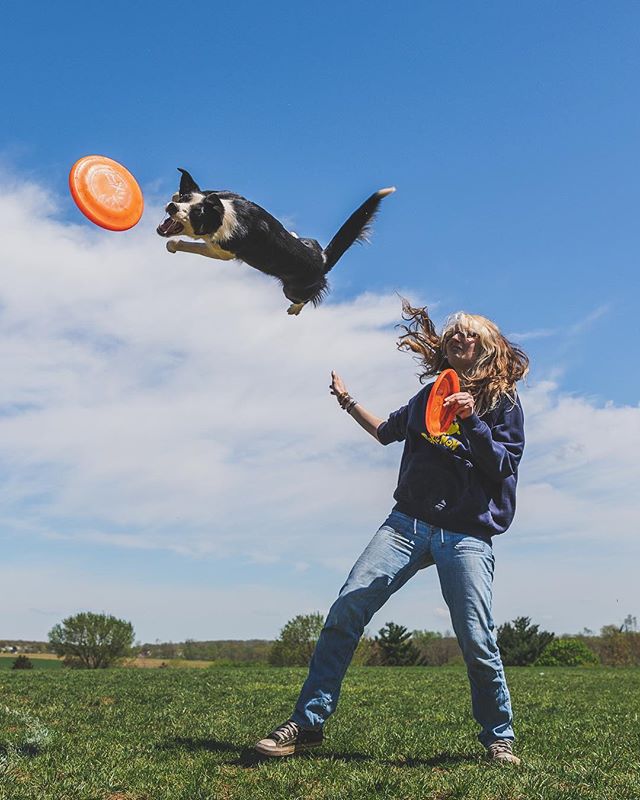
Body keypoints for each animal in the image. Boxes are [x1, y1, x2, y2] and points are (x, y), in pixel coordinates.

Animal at [156, 170, 396, 314]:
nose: (173, 207)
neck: (223, 213)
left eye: (196, 213)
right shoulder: (231, 196)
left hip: (293, 289)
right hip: (312, 242)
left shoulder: (222, 253)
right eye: (186, 200)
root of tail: (322, 260)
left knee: (306, 298)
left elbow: (194, 246)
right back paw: (294, 233)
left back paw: (295, 309)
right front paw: (176, 194)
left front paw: (175, 245)